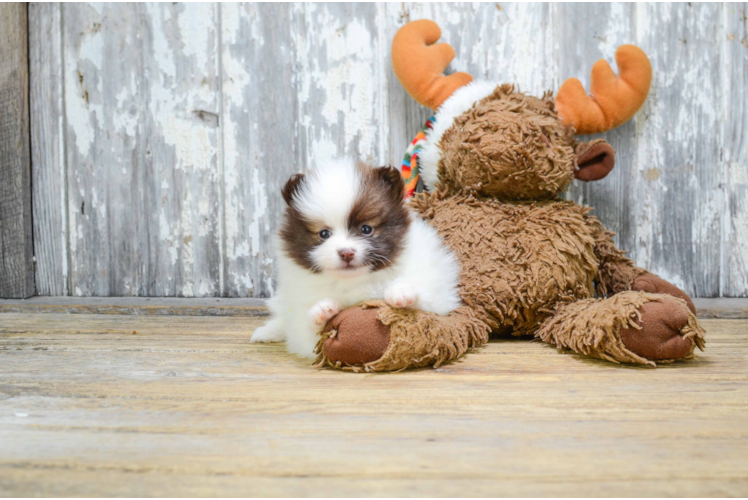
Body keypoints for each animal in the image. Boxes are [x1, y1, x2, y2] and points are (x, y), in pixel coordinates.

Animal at [251, 158, 462, 358]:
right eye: (324, 233)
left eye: (366, 229)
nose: (346, 252)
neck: (356, 280)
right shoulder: (300, 319)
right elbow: (309, 335)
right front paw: (322, 311)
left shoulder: (439, 294)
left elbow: (427, 303)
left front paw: (401, 293)